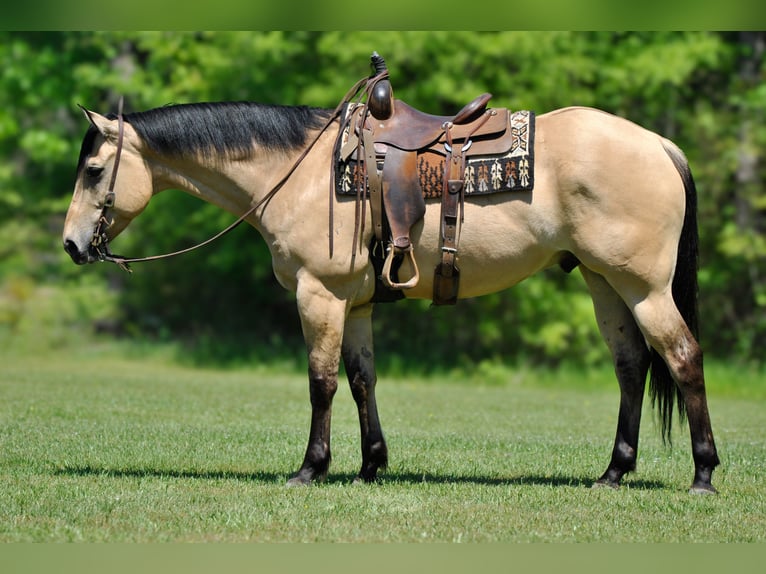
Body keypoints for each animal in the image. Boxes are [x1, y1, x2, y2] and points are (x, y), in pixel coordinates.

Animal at [62, 94, 720, 493]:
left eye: (93, 171)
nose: (71, 243)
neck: (302, 173)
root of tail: (658, 143)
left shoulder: (319, 295)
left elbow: (321, 382)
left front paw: (311, 468)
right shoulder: (353, 303)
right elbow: (361, 380)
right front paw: (371, 463)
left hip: (644, 287)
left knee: (684, 358)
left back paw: (704, 473)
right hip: (603, 281)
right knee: (632, 366)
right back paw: (613, 472)